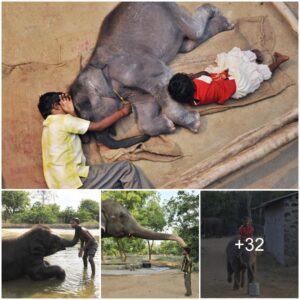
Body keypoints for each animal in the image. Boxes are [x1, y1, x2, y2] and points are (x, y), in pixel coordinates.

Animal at [69, 2, 233, 148]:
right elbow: (145, 111)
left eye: (87, 118)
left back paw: (218, 13)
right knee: (188, 44)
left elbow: (163, 83)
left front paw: (194, 122)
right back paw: (224, 23)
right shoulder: (134, 92)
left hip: (170, 10)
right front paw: (168, 125)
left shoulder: (137, 68)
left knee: (195, 30)